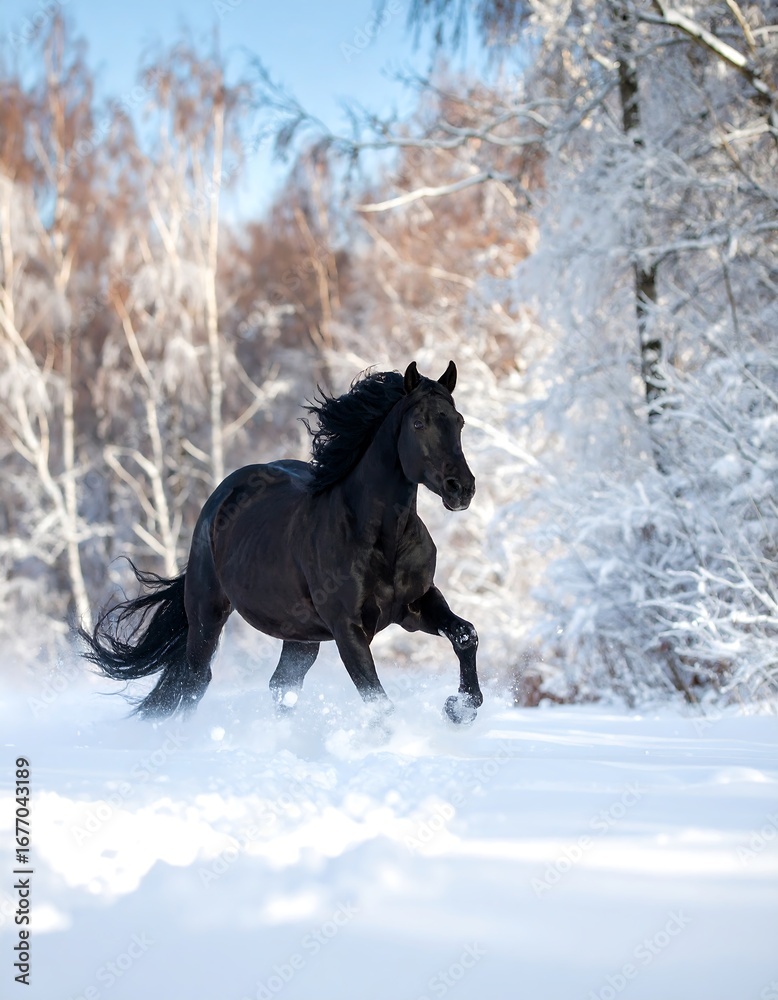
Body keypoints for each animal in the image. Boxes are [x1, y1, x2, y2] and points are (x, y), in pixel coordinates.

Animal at [79, 360, 483, 725]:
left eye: (459, 421)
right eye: (419, 424)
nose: (461, 488)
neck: (381, 540)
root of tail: (221, 498)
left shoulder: (416, 604)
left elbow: (466, 635)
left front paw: (459, 708)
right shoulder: (348, 629)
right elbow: (378, 702)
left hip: (300, 636)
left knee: (280, 686)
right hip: (208, 613)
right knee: (193, 681)